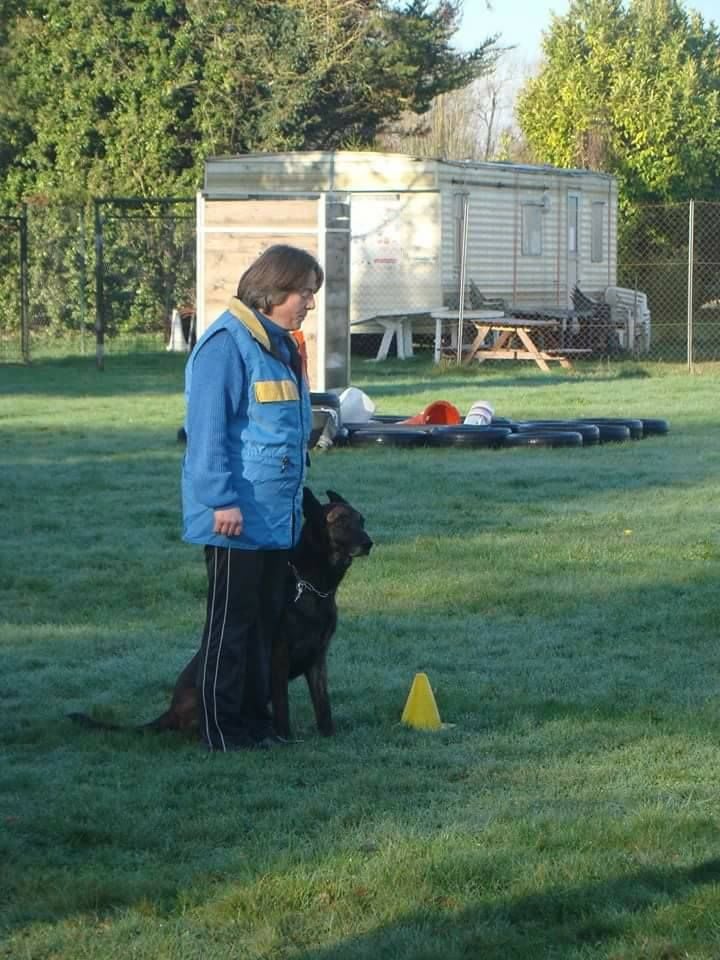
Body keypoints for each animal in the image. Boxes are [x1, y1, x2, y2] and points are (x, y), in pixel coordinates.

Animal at [68, 488, 374, 744]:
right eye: (341, 522)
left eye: (361, 520)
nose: (369, 543)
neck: (311, 585)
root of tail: (170, 710)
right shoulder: (278, 656)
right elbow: (283, 705)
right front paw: (285, 738)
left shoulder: (318, 659)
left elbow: (324, 704)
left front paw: (329, 737)